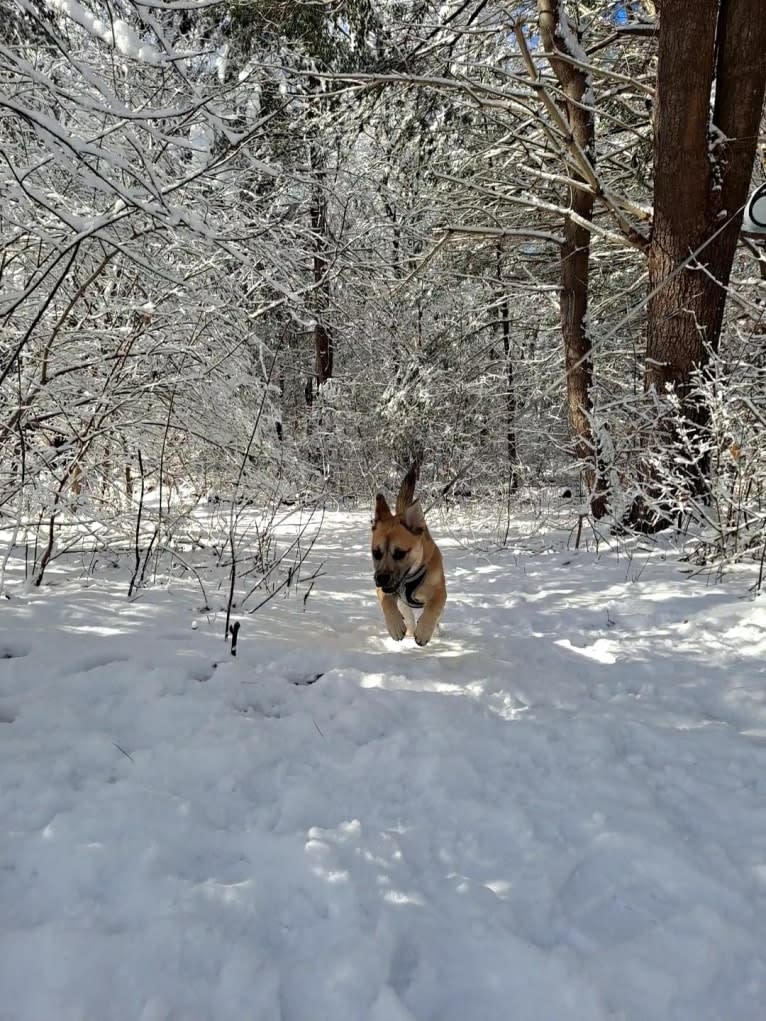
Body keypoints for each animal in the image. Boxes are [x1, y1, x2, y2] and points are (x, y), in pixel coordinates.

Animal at [373, 465, 447, 645]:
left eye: (400, 553)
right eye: (376, 553)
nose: (381, 578)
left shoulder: (439, 591)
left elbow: (433, 607)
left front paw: (424, 631)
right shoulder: (384, 590)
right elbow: (387, 602)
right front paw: (395, 626)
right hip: (403, 604)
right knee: (408, 616)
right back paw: (409, 628)